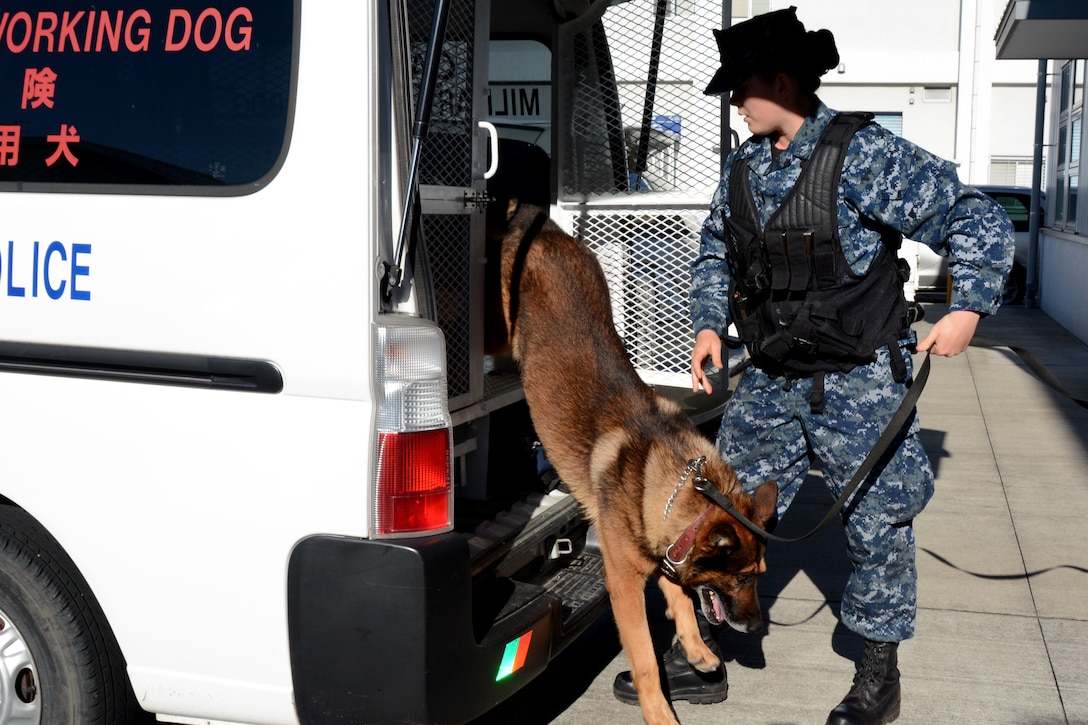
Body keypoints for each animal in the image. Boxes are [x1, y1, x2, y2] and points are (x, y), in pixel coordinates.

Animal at [489, 200, 779, 722]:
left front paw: (696, 650)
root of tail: (539, 224)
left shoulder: (665, 554)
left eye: (759, 577)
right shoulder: (624, 585)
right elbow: (644, 657)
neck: (668, 479)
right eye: (744, 577)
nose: (751, 628)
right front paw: (660, 712)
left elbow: (682, 599)